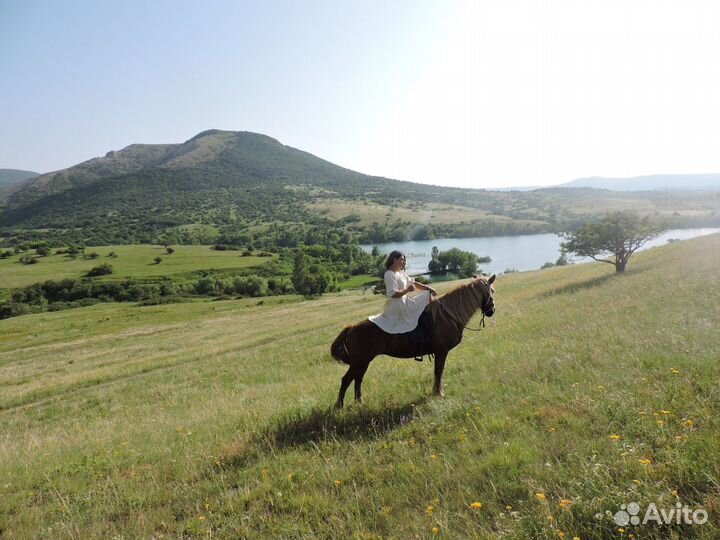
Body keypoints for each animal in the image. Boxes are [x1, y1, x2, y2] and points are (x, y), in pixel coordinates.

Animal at [330, 276, 496, 408]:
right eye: (492, 291)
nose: (491, 311)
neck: (448, 315)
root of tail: (352, 328)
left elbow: (438, 372)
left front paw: (436, 391)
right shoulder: (441, 351)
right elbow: (439, 371)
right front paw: (438, 393)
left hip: (363, 362)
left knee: (358, 379)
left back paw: (359, 402)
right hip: (359, 362)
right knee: (346, 380)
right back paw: (339, 405)